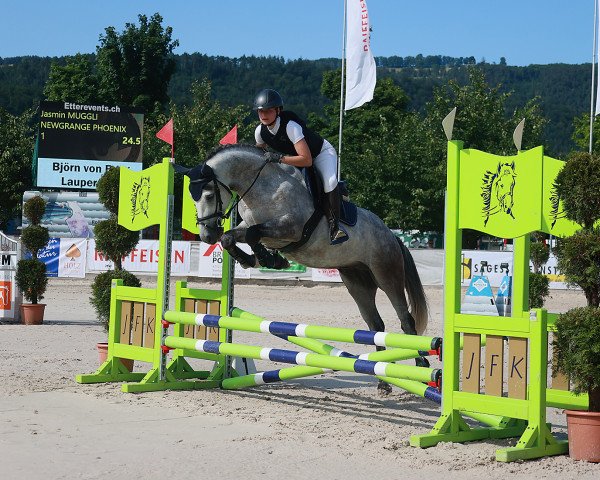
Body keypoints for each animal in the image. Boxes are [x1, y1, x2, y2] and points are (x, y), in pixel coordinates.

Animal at [176, 144, 428, 392]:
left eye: (209, 195)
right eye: (191, 197)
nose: (207, 236)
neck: (263, 187)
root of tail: (392, 235)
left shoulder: (291, 228)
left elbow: (253, 233)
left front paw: (268, 259)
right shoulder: (251, 225)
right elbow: (232, 237)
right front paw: (258, 259)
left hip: (386, 275)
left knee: (405, 319)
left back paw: (423, 368)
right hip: (357, 282)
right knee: (375, 325)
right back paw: (383, 382)